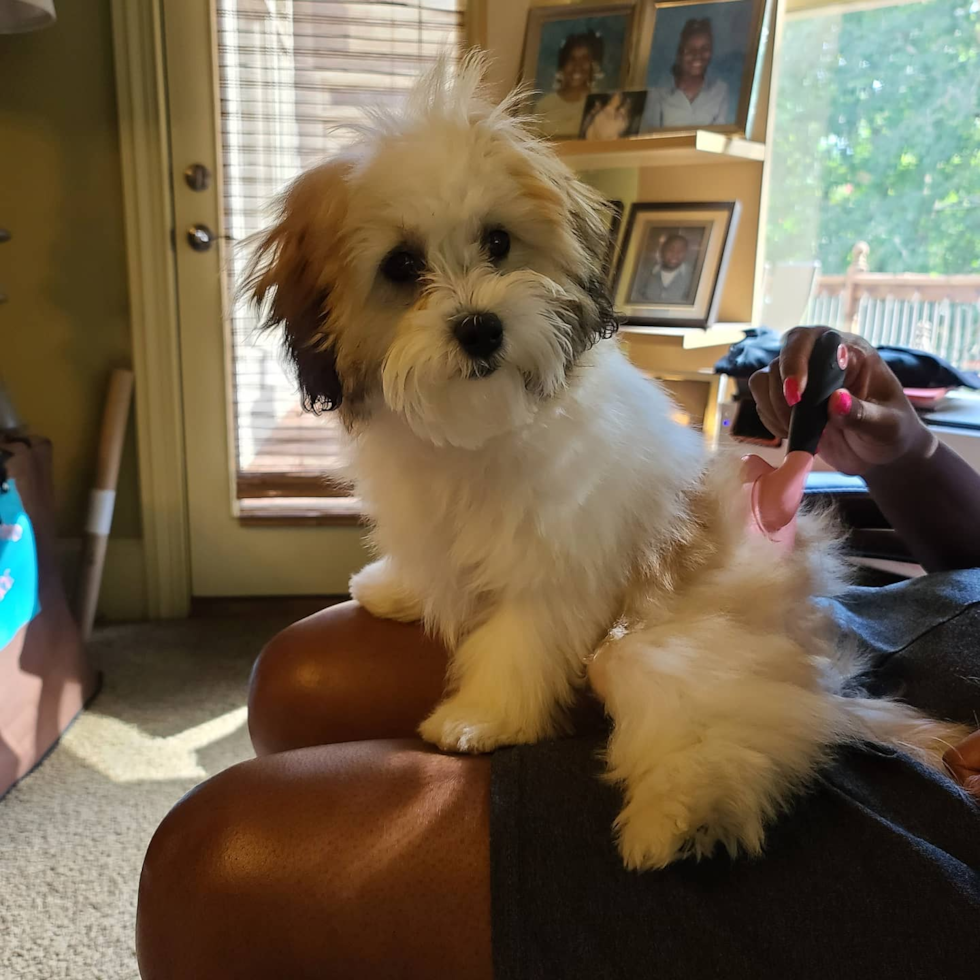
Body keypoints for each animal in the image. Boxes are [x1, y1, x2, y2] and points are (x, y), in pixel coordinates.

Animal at [249, 55, 968, 864]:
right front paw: (396, 588)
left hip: (690, 641)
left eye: (497, 243)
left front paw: (481, 718)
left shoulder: (557, 563)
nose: (480, 327)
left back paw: (684, 812)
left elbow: (521, 640)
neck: (482, 425)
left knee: (730, 712)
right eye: (401, 266)